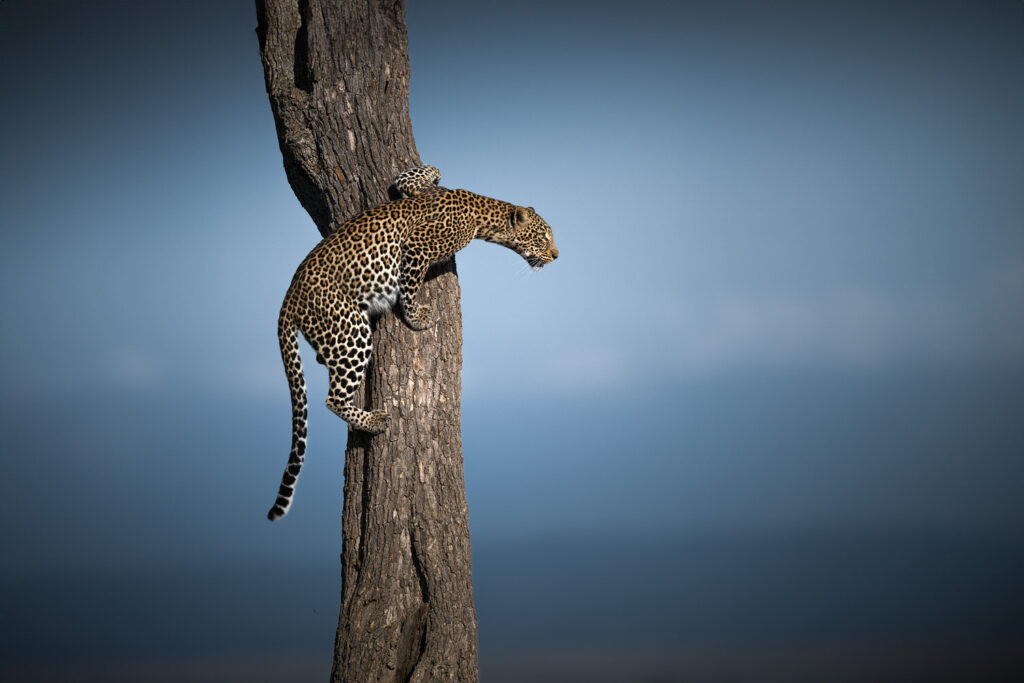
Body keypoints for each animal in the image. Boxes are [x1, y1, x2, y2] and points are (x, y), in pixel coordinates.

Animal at [267, 165, 559, 521]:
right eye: (543, 237)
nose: (557, 255)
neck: (480, 213)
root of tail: (288, 299)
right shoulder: (418, 247)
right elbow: (408, 288)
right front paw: (416, 317)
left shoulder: (416, 191)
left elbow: (420, 176)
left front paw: (426, 172)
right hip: (350, 330)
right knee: (332, 398)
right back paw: (373, 421)